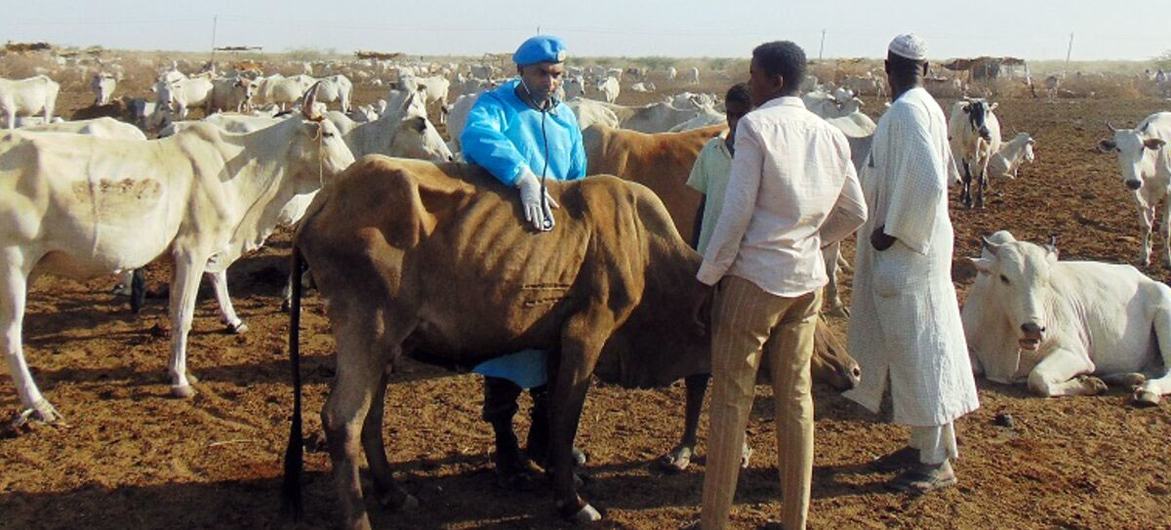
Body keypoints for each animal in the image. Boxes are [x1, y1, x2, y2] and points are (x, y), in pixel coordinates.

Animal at [0, 87, 351, 425]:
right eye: (329, 133)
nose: (351, 169)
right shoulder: (191, 251)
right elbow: (183, 316)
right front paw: (180, 380)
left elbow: (177, 310)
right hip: (13, 266)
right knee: (10, 336)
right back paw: (39, 405)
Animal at [285, 154, 721, 524]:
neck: (645, 246)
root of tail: (325, 200)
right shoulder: (587, 331)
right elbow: (566, 417)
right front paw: (572, 502)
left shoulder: (556, 340)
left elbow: (550, 410)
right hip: (366, 326)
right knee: (343, 418)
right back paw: (360, 517)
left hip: (386, 342)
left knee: (372, 413)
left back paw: (393, 493)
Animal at [960, 228, 1171, 404]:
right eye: (1004, 278)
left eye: (1046, 280)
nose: (1033, 329)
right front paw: (1091, 381)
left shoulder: (1074, 352)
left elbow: (1038, 378)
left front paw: (1088, 384)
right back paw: (1129, 377)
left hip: (1165, 314)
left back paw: (1147, 391)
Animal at [1096, 112, 1171, 266]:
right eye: (1118, 149)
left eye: (1142, 148)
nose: (1133, 182)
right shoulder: (1138, 195)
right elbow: (1145, 226)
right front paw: (1144, 256)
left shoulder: (1168, 192)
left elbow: (1165, 229)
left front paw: (1167, 259)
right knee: (1151, 217)